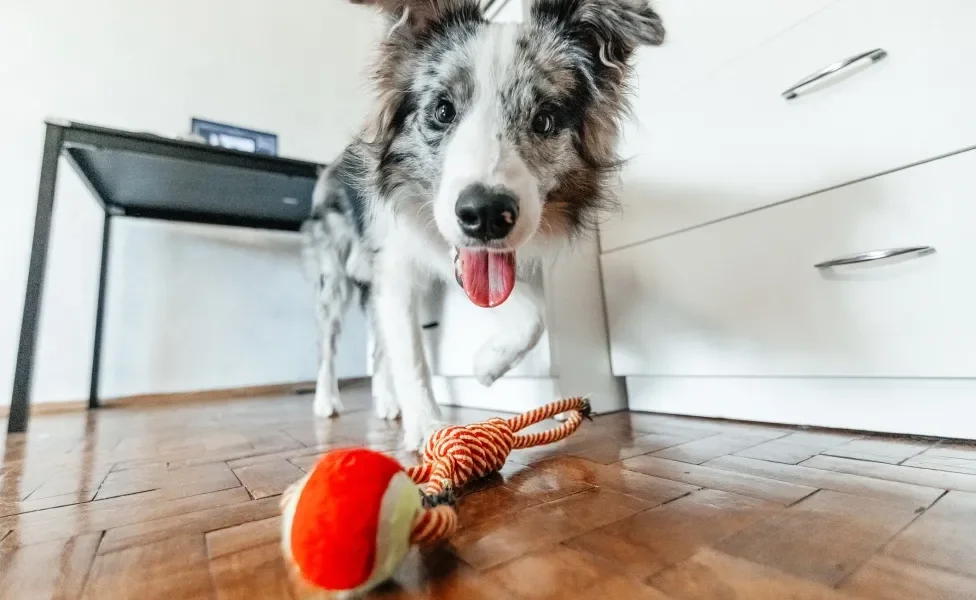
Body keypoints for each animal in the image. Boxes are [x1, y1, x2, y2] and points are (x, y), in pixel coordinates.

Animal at [304, 0, 668, 450]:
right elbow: (409, 349)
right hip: (334, 275)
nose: (487, 216)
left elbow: (532, 312)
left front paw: (485, 367)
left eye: (545, 120)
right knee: (329, 342)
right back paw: (327, 401)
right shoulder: (396, 264)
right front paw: (429, 428)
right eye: (443, 111)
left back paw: (387, 402)